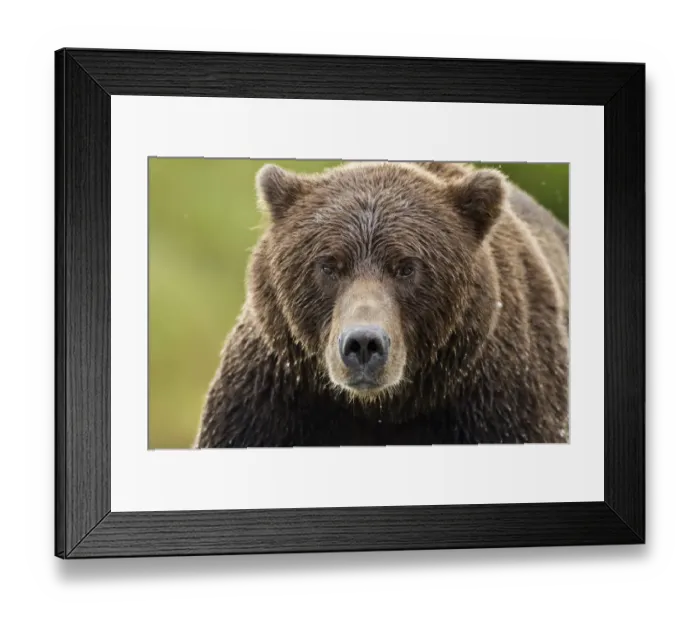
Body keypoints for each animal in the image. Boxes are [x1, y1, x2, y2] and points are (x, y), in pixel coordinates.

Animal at [193, 160, 569, 448]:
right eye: (329, 265)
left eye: (406, 266)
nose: (363, 343)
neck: (383, 408)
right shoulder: (269, 402)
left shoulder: (499, 402)